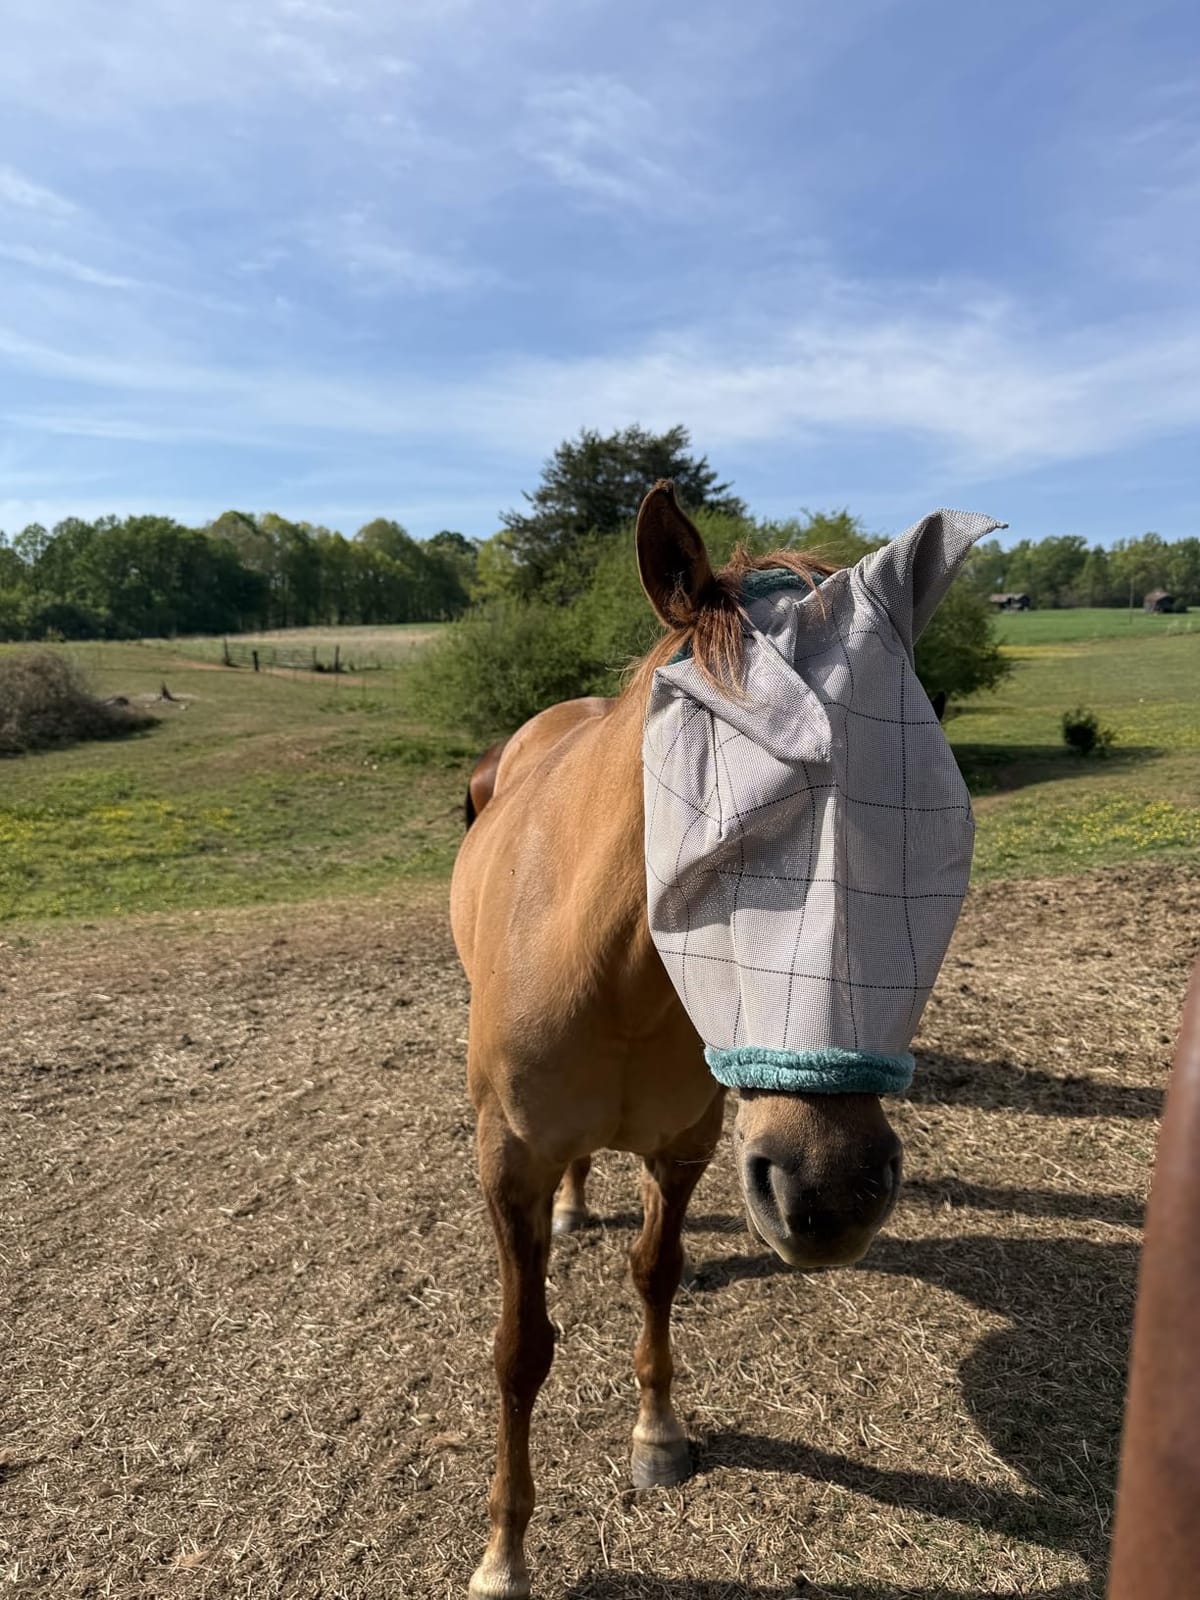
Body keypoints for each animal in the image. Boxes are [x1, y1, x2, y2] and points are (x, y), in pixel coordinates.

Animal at [450, 482, 995, 1599]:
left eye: (938, 820)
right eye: (720, 824)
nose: (830, 1190)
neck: (615, 974)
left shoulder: (689, 1145)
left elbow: (655, 1275)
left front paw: (658, 1434)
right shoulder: (508, 1162)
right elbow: (520, 1350)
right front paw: (505, 1552)